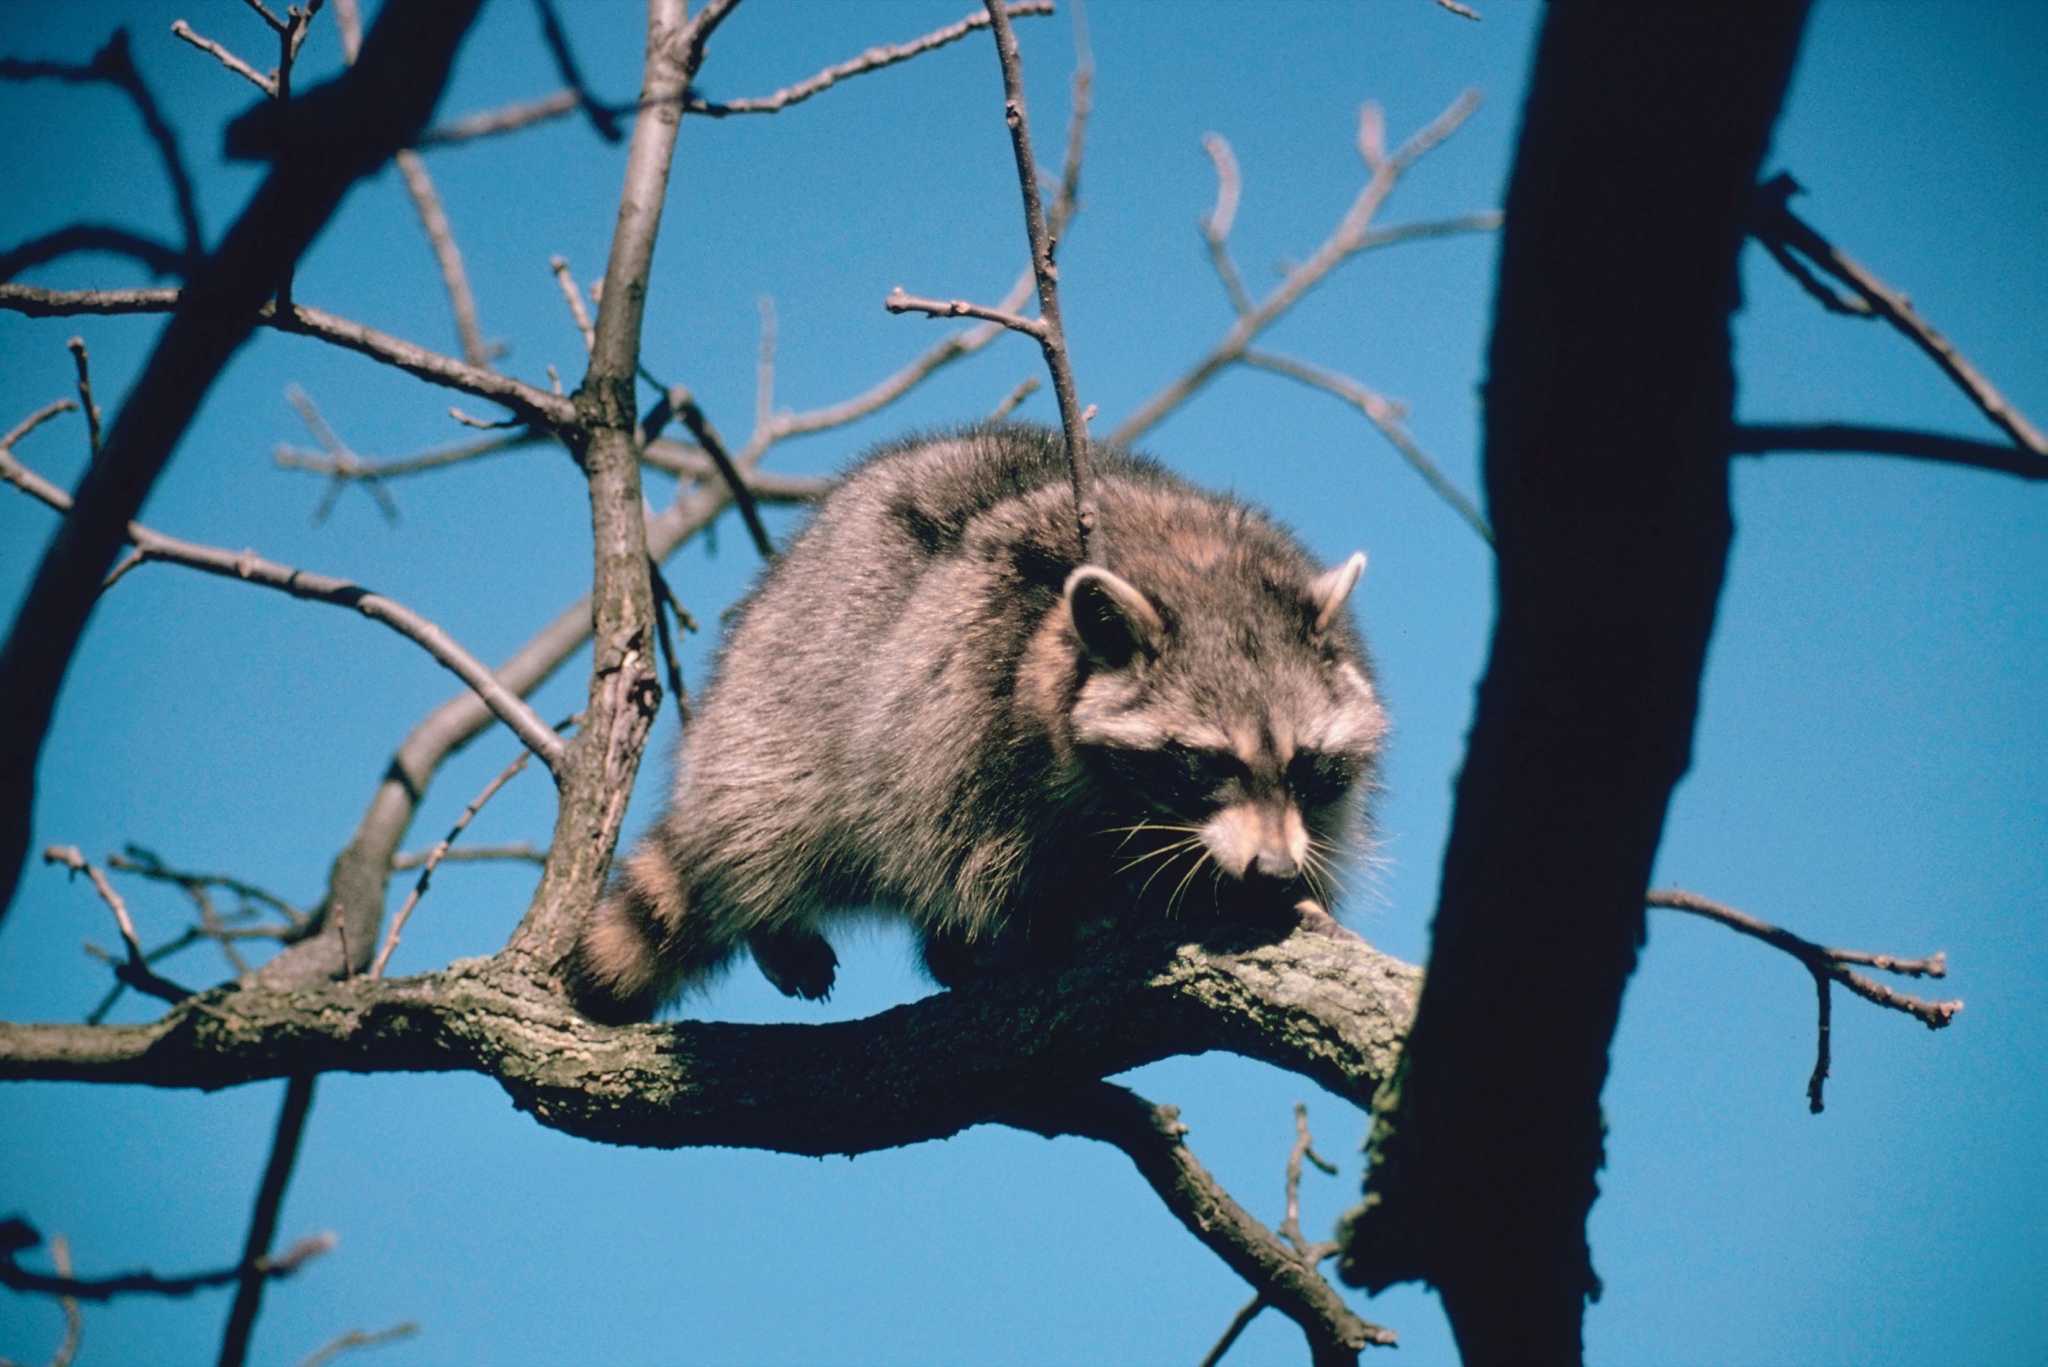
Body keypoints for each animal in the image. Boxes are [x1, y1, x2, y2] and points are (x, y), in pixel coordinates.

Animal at [568, 423, 1386, 1023]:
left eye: (1305, 764)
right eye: (1210, 762)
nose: (1272, 868)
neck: (1194, 560)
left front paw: (1280, 892)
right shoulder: (963, 705)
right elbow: (964, 854)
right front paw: (1065, 919)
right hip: (787, 677)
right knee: (776, 804)